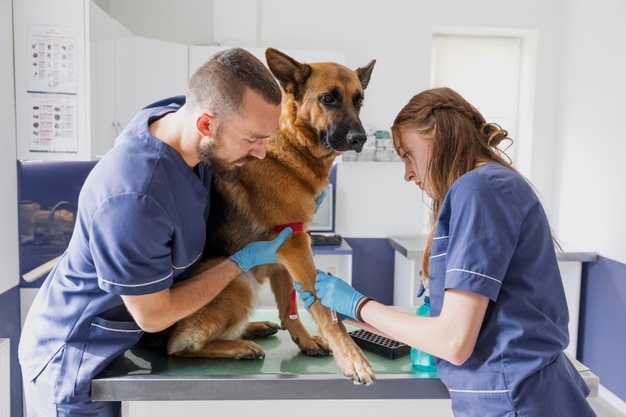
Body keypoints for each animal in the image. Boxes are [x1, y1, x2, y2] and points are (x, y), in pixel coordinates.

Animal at [161, 48, 376, 384]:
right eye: (328, 98)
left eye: (359, 101)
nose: (361, 138)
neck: (290, 144)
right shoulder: (295, 244)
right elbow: (324, 310)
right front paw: (352, 358)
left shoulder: (287, 247)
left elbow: (290, 307)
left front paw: (305, 339)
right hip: (239, 281)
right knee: (180, 345)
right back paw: (237, 346)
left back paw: (252, 328)